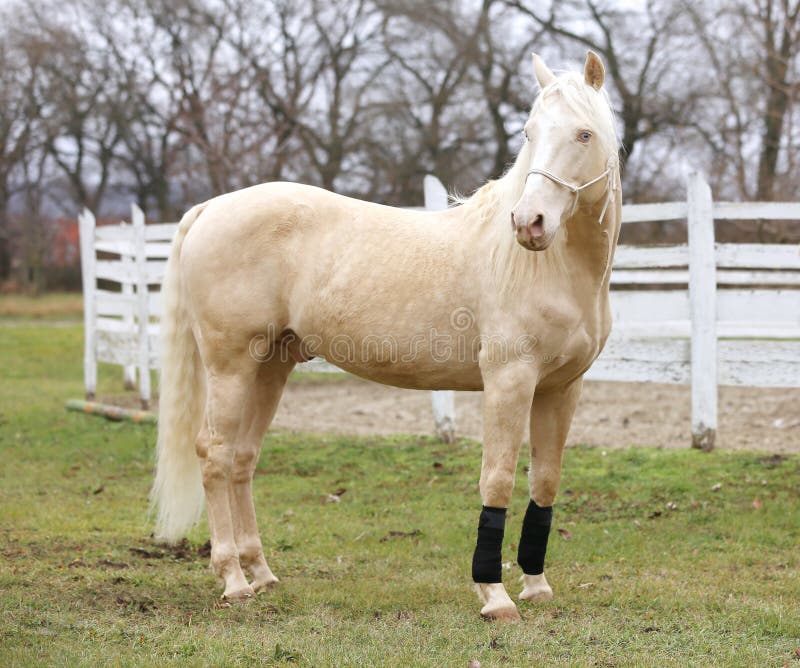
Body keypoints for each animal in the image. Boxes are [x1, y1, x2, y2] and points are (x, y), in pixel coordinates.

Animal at [153, 52, 620, 620]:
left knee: (243, 457)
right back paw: (234, 580)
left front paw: (536, 585)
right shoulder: (509, 381)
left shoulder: (561, 388)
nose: (529, 223)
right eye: (530, 133)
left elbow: (545, 480)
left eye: (583, 134)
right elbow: (498, 477)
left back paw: (261, 572)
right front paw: (495, 595)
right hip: (230, 365)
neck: (551, 268)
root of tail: (211, 207)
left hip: (270, 365)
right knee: (215, 455)